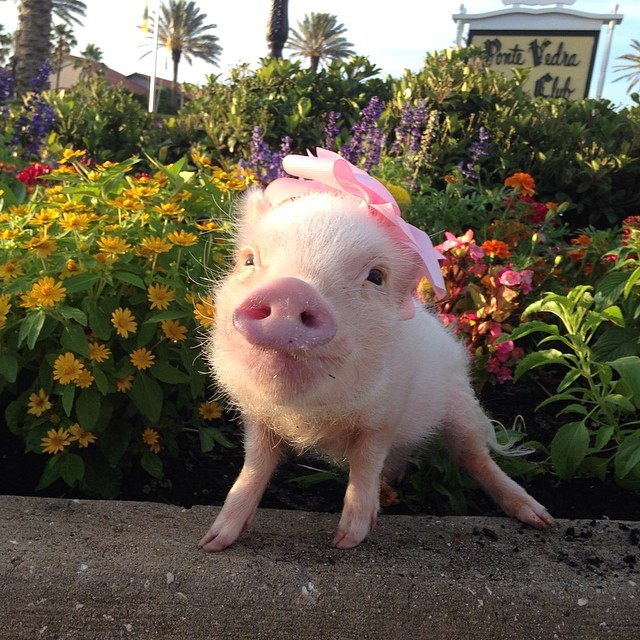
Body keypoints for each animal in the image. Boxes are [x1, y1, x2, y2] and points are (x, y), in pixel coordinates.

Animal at [199, 148, 554, 552]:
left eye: (376, 276)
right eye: (248, 260)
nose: (291, 290)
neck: (310, 415)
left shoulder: (387, 414)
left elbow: (367, 461)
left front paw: (346, 541)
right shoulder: (259, 418)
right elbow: (254, 467)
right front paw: (212, 542)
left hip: (461, 404)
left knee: (474, 456)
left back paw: (541, 519)